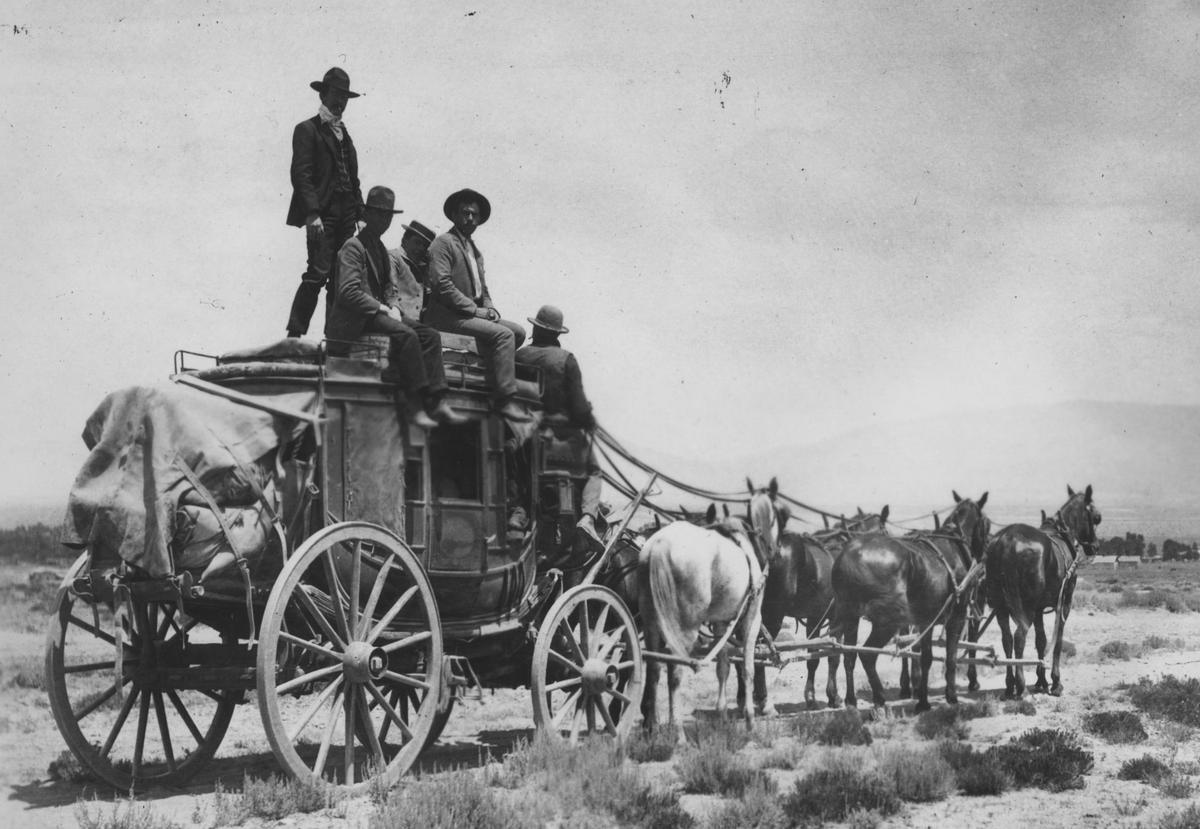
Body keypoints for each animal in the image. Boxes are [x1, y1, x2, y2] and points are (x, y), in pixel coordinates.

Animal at [638, 499, 768, 724]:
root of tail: (659, 545)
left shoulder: (720, 622)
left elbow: (723, 666)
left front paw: (722, 714)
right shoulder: (752, 618)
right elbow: (748, 667)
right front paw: (750, 717)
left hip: (651, 625)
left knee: (654, 669)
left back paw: (652, 727)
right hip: (683, 629)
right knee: (675, 672)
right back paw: (677, 729)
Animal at [729, 479, 892, 715]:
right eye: (885, 531)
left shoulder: (820, 618)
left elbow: (826, 656)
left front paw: (826, 697)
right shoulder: (845, 619)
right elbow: (840, 656)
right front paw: (836, 699)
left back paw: (744, 699)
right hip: (772, 616)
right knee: (757, 651)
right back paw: (765, 702)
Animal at [830, 491, 988, 715]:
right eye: (986, 523)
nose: (984, 556)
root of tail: (848, 557)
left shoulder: (926, 621)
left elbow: (925, 658)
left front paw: (923, 701)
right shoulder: (955, 616)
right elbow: (951, 657)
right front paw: (951, 696)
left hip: (849, 614)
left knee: (849, 655)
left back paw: (851, 701)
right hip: (886, 622)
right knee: (867, 655)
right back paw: (879, 698)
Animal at [984, 482, 1099, 695]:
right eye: (1096, 517)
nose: (1095, 546)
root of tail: (1006, 541)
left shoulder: (1038, 608)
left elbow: (1041, 641)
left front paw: (1041, 680)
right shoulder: (1065, 604)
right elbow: (1057, 641)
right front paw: (1055, 681)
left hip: (1001, 607)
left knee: (1007, 639)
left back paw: (1010, 685)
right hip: (1026, 608)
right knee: (1019, 636)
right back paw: (1021, 686)